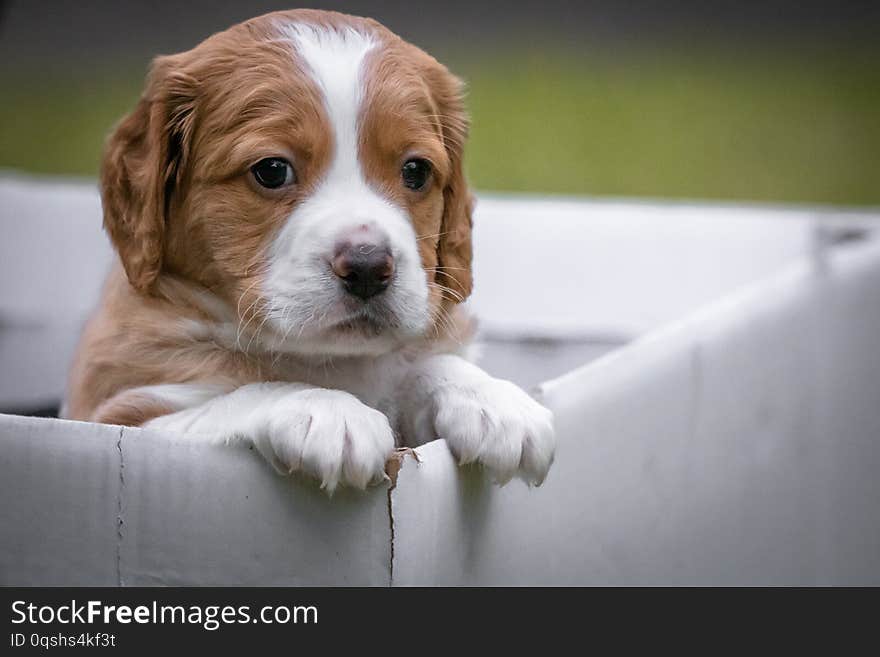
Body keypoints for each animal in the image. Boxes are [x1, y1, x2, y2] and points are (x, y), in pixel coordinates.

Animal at [65, 9, 552, 492]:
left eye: (415, 171)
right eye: (272, 170)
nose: (368, 267)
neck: (331, 360)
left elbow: (424, 364)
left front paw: (492, 399)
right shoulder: (123, 415)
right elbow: (245, 392)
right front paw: (327, 411)